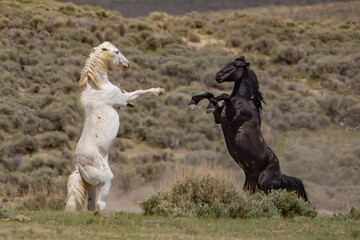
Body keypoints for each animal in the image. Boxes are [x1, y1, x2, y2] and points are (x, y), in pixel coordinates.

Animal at [65, 42, 165, 211]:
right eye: (117, 51)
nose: (127, 64)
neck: (97, 88)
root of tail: (79, 166)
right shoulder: (122, 99)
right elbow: (139, 92)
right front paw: (158, 90)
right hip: (106, 180)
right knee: (100, 204)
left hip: (92, 186)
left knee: (91, 205)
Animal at [187, 57, 308, 202]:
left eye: (236, 65)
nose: (218, 76)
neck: (243, 100)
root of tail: (280, 176)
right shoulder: (218, 118)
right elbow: (210, 94)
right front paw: (194, 102)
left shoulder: (233, 119)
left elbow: (225, 95)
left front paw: (207, 104)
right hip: (250, 187)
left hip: (265, 186)